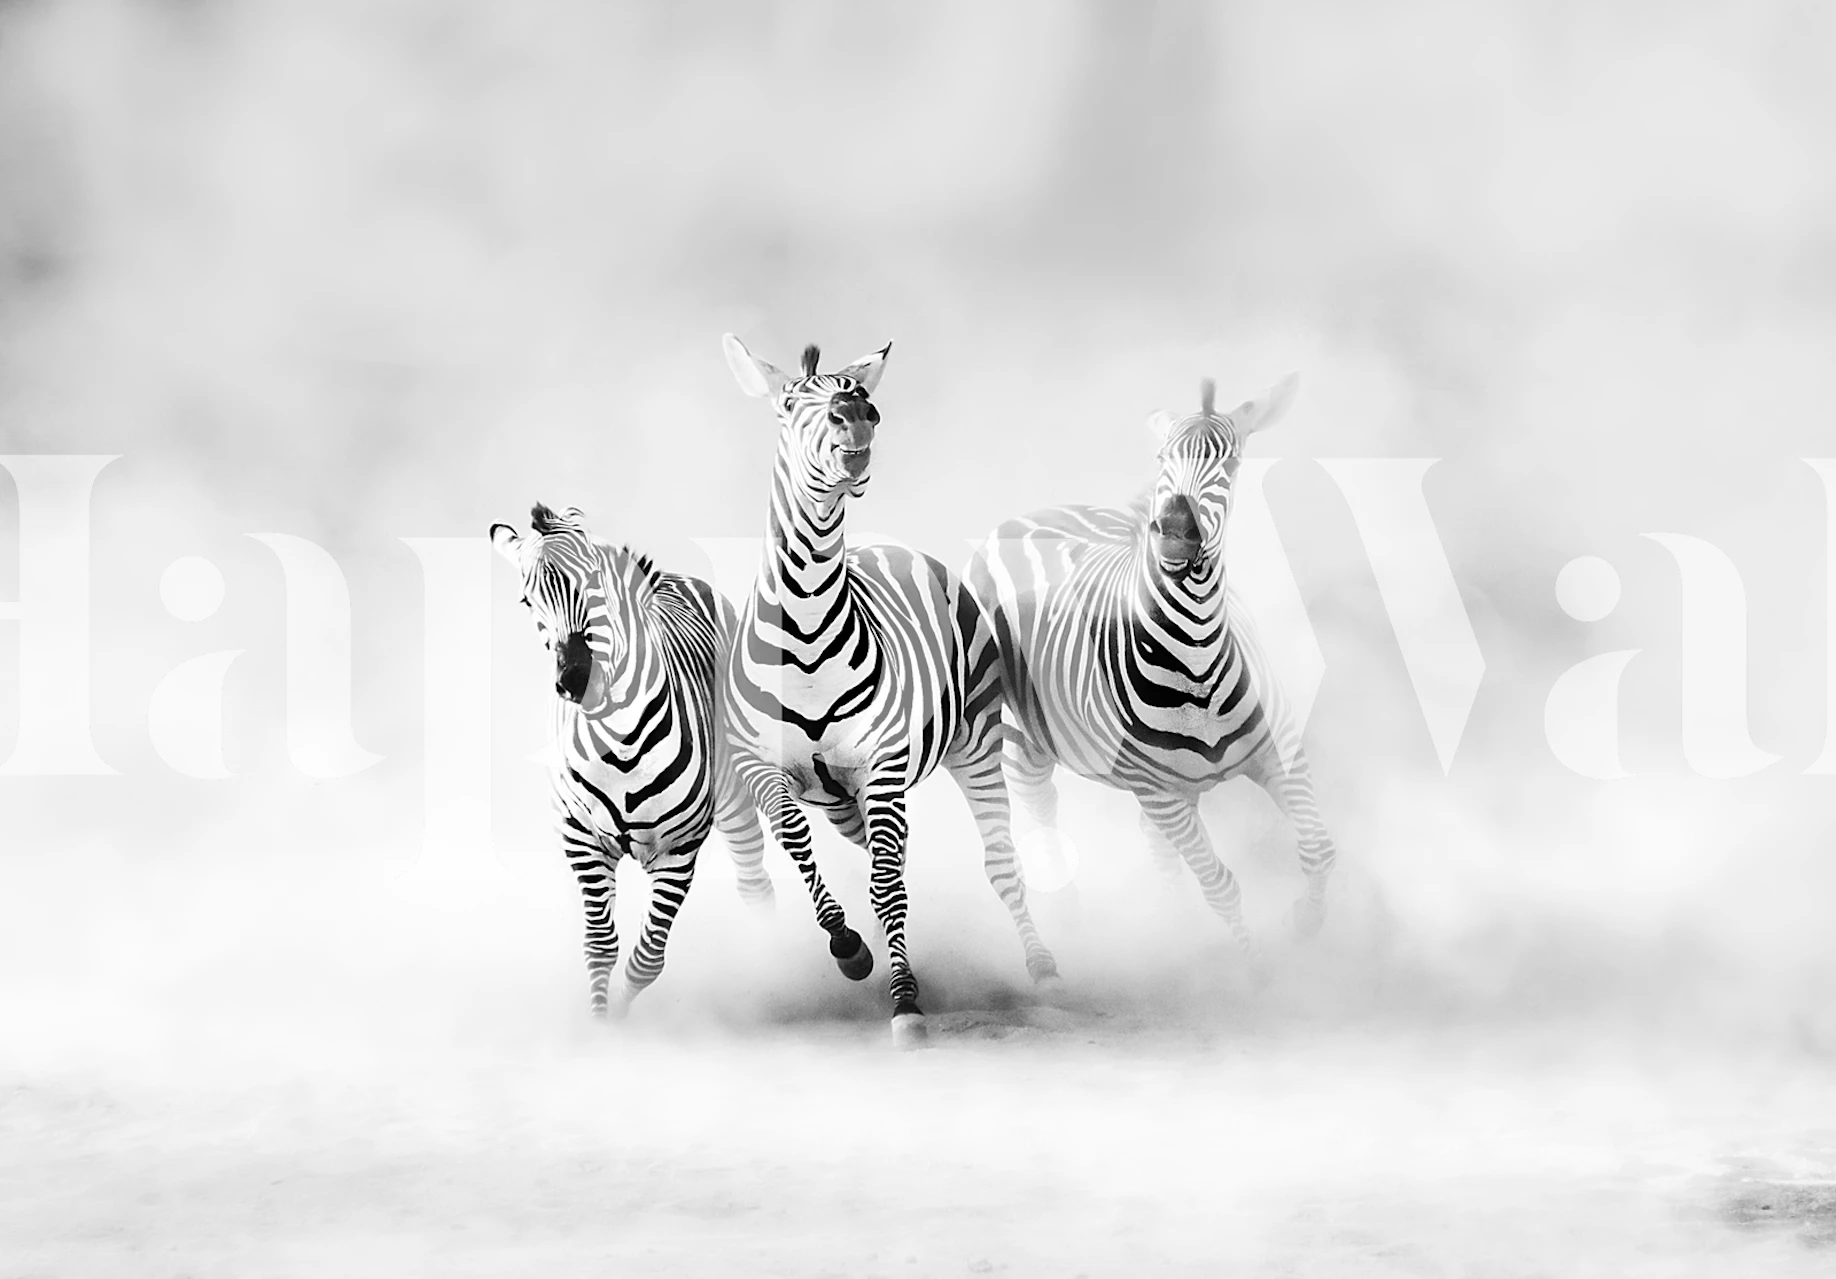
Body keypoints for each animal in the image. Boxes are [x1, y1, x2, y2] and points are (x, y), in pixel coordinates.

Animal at [490, 503, 773, 1018]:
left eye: (595, 581)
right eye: (527, 601)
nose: (576, 680)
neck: (620, 742)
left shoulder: (680, 848)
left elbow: (647, 959)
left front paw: (621, 1015)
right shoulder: (581, 839)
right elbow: (601, 946)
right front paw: (604, 1024)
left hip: (734, 798)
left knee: (755, 884)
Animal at [721, 335, 1059, 1046]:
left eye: (859, 395)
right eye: (788, 404)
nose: (858, 416)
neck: (807, 627)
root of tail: (894, 549)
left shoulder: (880, 768)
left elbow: (885, 886)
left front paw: (906, 1000)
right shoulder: (766, 770)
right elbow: (800, 847)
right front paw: (850, 949)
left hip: (974, 744)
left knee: (997, 860)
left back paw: (1043, 970)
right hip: (842, 798)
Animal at [964, 375, 1339, 977]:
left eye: (1231, 462)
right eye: (1163, 458)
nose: (1176, 532)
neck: (1198, 657)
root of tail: (1029, 515)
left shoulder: (1278, 752)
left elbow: (1318, 848)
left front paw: (1305, 922)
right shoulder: (1157, 789)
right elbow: (1220, 885)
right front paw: (1256, 972)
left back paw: (1172, 923)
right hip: (1026, 741)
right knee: (1042, 814)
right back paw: (1068, 922)